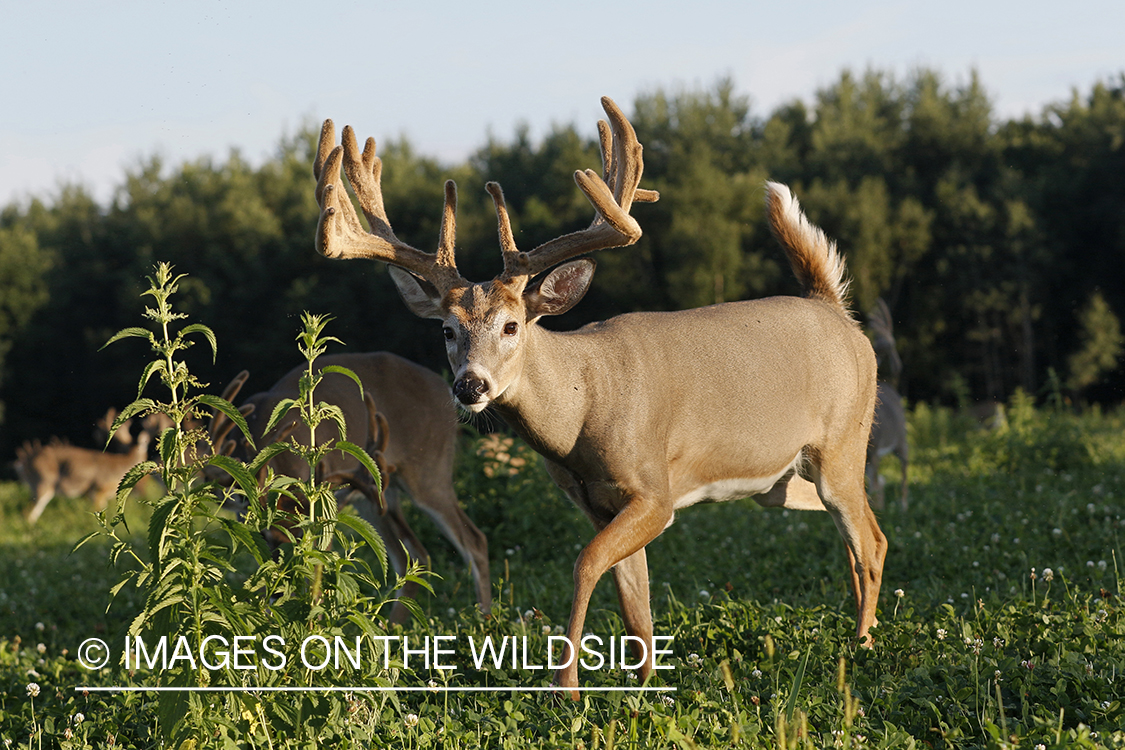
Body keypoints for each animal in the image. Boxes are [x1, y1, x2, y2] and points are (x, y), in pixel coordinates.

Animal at [211, 353, 492, 620]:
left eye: (307, 536)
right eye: (266, 534)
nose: (282, 588)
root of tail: (443, 385)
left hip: (430, 471)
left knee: (475, 540)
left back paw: (484, 619)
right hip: (378, 498)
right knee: (412, 556)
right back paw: (391, 626)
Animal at [310, 96, 886, 697]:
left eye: (512, 325)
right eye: (446, 330)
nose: (470, 386)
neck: (583, 408)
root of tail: (835, 310)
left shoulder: (654, 492)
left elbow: (587, 564)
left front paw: (566, 686)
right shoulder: (595, 501)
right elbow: (635, 604)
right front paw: (642, 687)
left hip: (842, 444)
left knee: (871, 541)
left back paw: (864, 644)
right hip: (781, 480)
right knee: (861, 535)